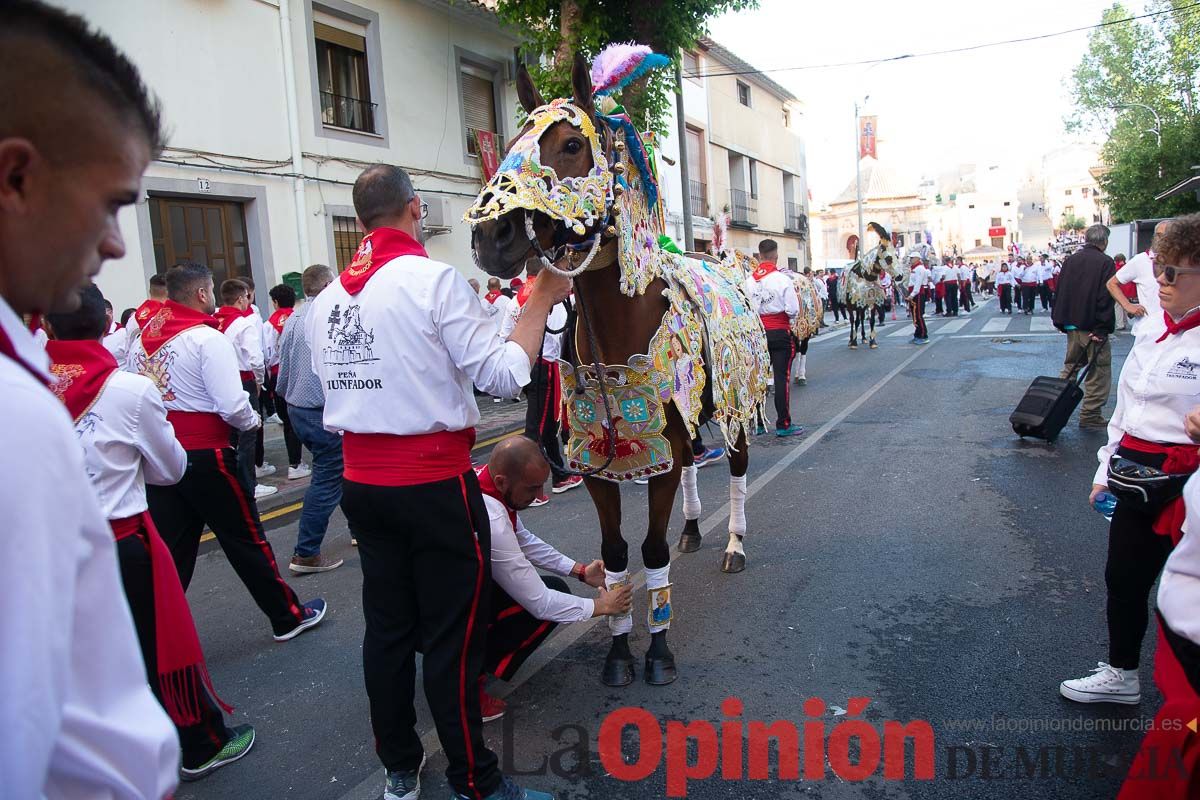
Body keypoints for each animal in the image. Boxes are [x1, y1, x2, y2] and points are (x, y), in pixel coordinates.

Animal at [463, 48, 763, 690]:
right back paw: (695, 529)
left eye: (573, 144)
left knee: (735, 469)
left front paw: (658, 650)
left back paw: (733, 544)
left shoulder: (658, 451)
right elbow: (620, 552)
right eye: (512, 140)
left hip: (734, 405)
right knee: (694, 467)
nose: (491, 234)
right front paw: (621, 649)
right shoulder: (605, 464)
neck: (619, 326)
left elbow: (651, 553)